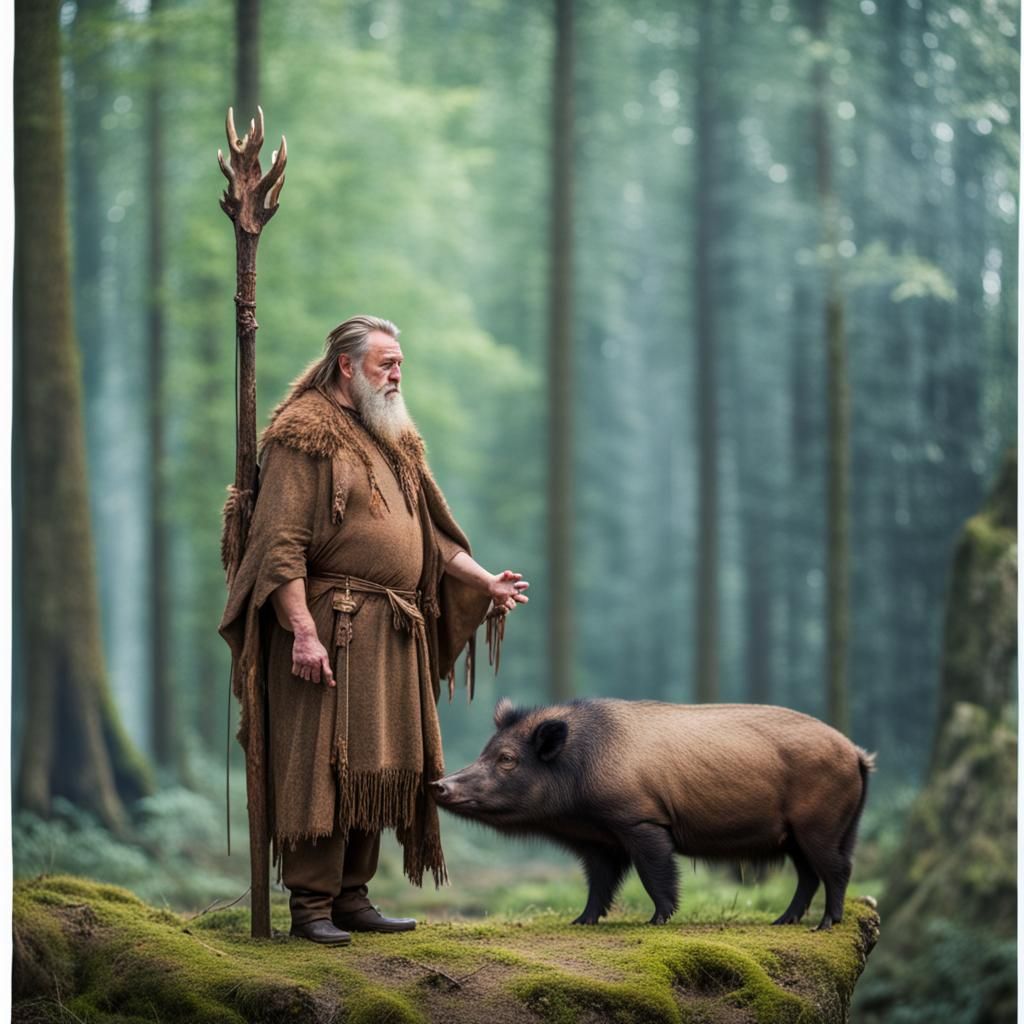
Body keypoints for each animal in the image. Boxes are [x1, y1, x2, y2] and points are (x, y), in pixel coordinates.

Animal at [431, 698, 875, 930]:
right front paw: (581, 922)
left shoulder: (640, 821)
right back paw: (782, 922)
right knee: (809, 875)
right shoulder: (597, 839)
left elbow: (654, 873)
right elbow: (599, 883)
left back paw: (825, 924)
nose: (438, 784)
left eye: (506, 758)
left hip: (819, 824)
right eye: (485, 751)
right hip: (802, 835)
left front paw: (657, 921)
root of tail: (856, 753)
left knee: (837, 869)